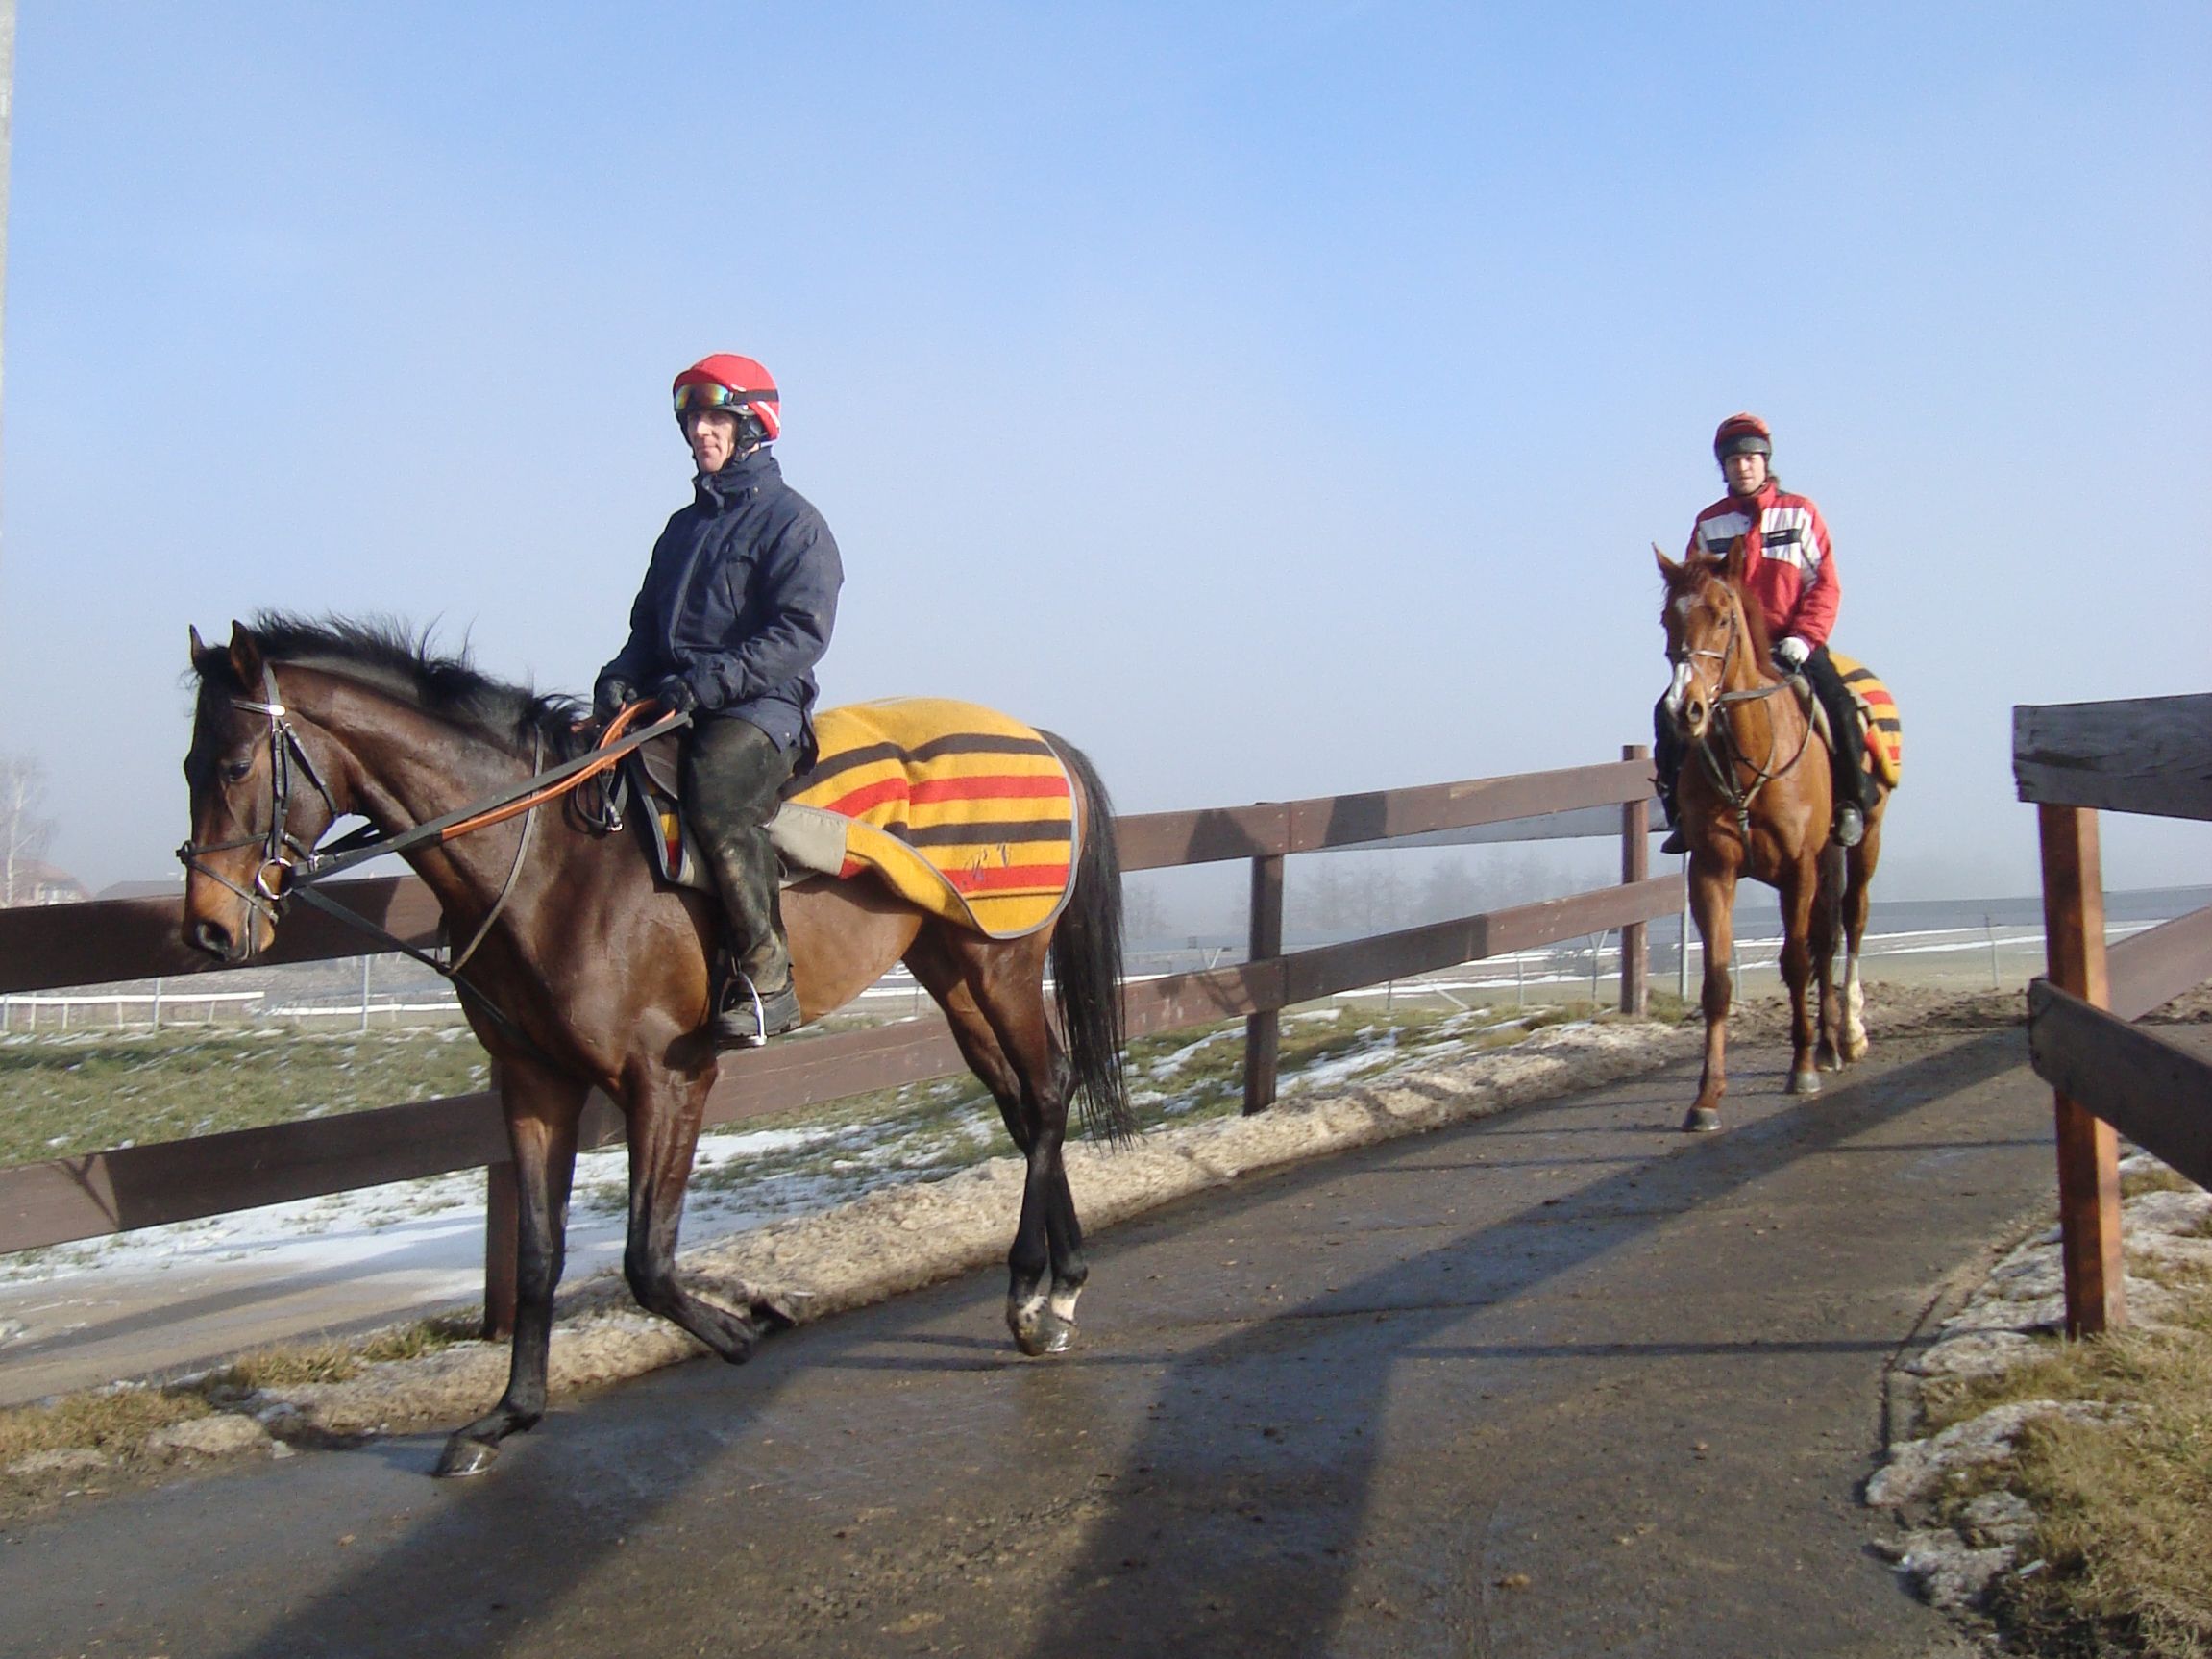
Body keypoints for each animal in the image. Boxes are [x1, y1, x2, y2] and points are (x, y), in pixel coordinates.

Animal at [181, 623, 1132, 1477]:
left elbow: (647, 1259)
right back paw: (1062, 1287)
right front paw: (507, 1415)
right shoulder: (534, 1084)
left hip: (1001, 962)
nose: (210, 930)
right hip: (950, 969)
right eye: (190, 768)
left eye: (234, 767)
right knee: (1023, 1107)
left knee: (1048, 1093)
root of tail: (1039, 739)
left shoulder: (669, 1078)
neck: (552, 865)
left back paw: (1029, 1298)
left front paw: (747, 1328)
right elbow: (538, 1255)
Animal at [1654, 553, 1893, 1141]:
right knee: (1828, 935)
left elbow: (1795, 961)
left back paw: (1847, 1035)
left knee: (1850, 923)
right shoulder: (1711, 872)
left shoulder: (1797, 869)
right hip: (1828, 857)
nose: (1684, 709)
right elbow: (1717, 982)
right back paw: (1829, 1043)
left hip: (1863, 842)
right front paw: (1706, 1098)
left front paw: (1801, 1068)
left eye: (1722, 617)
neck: (1747, 755)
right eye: (1668, 620)